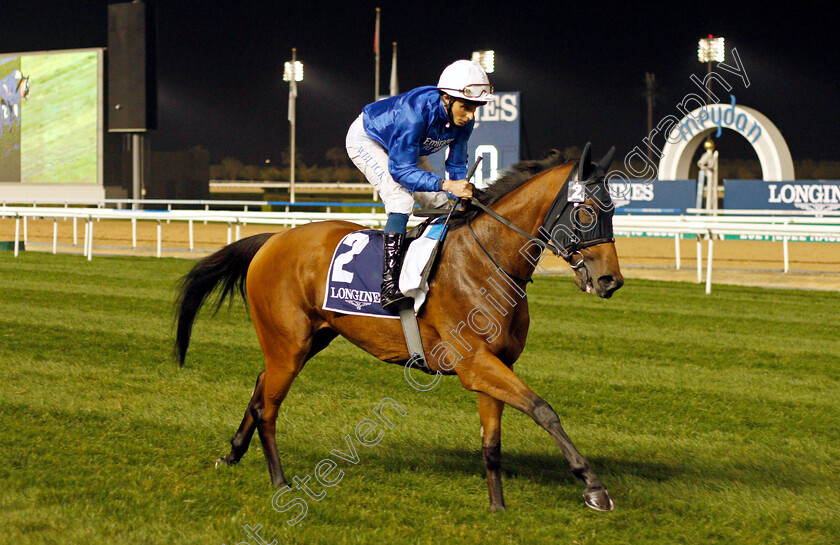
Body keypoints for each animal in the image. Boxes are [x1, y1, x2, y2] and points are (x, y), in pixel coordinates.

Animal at [176, 144, 624, 510]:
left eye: (614, 211)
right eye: (586, 211)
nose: (610, 280)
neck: (488, 262)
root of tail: (271, 239)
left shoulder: (496, 363)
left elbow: (493, 441)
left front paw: (497, 505)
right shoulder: (474, 363)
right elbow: (543, 409)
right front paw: (593, 485)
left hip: (307, 339)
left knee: (259, 386)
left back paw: (232, 453)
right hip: (289, 343)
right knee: (268, 408)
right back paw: (280, 481)